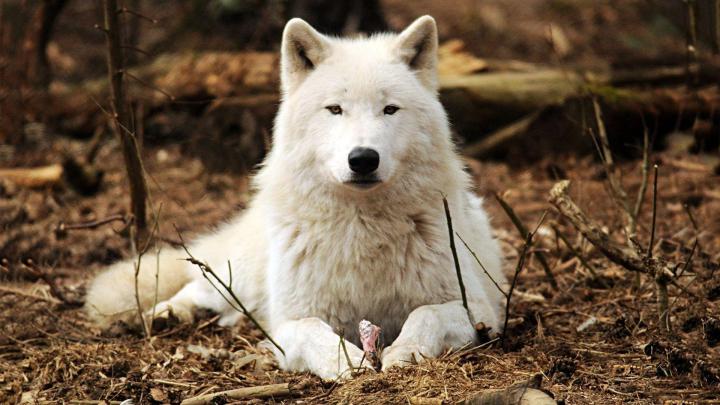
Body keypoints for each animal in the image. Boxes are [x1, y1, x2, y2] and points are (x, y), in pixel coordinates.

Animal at [85, 15, 506, 380]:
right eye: (335, 109)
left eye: (390, 109)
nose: (363, 159)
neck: (363, 229)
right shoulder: (288, 321)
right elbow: (314, 331)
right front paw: (347, 361)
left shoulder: (477, 309)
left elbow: (425, 315)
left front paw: (404, 353)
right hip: (240, 273)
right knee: (200, 285)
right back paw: (166, 313)